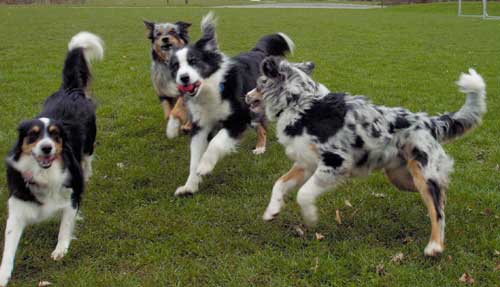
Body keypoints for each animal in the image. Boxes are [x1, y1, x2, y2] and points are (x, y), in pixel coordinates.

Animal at [0, 31, 103, 286]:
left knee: (87, 159)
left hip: (89, 143)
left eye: (56, 136)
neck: (44, 173)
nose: (47, 148)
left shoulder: (72, 195)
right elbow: (9, 246)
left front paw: (60, 249)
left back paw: (88, 172)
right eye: (33, 136)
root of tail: (70, 90)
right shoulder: (17, 207)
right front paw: (3, 274)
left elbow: (65, 225)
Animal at [169, 12, 292, 197]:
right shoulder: (200, 125)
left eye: (193, 61)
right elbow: (194, 157)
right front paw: (190, 185)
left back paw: (261, 147)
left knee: (263, 127)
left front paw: (205, 166)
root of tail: (257, 51)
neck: (211, 88)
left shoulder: (238, 119)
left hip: (253, 107)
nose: (184, 78)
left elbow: (215, 143)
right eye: (176, 66)